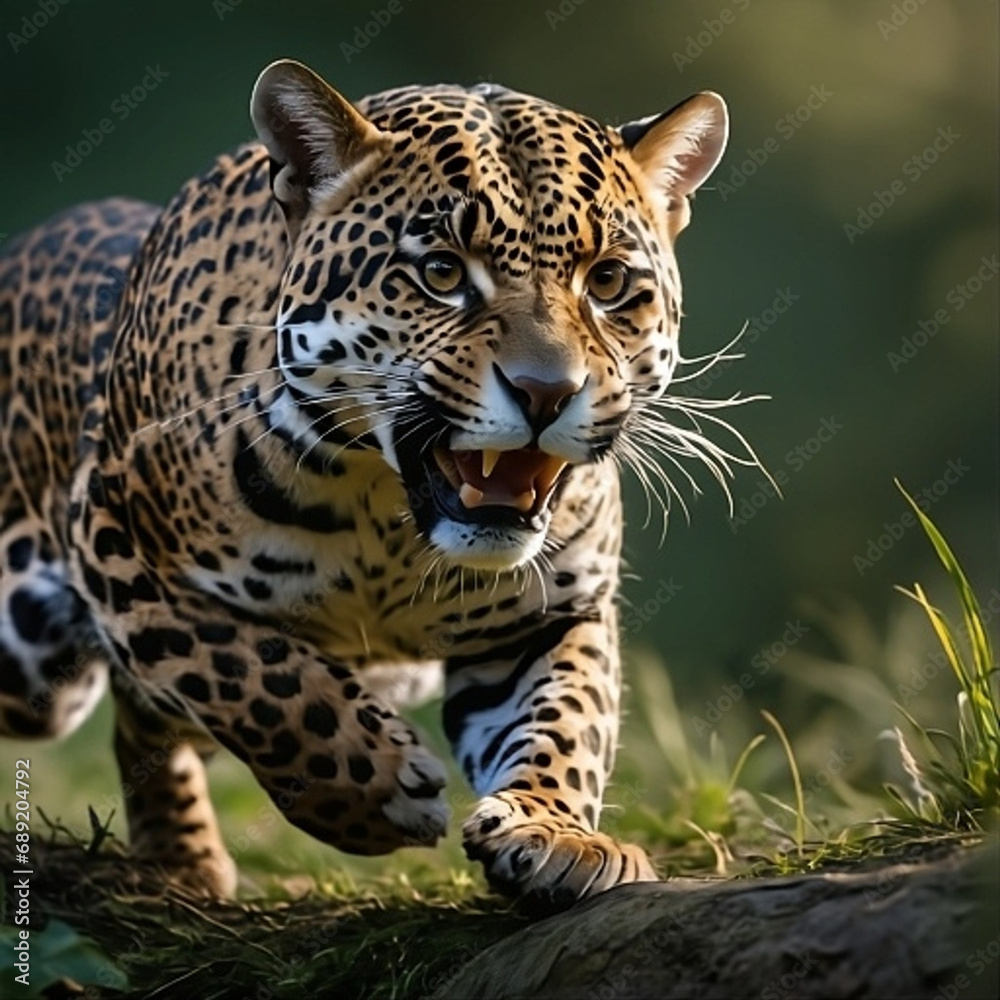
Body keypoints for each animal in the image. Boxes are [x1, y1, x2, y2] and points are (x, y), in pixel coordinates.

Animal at [0, 59, 731, 912]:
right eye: (442, 272)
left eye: (609, 281)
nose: (548, 392)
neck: (391, 520)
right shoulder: (118, 537)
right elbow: (241, 669)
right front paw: (374, 787)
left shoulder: (554, 610)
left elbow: (566, 720)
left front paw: (557, 835)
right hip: (33, 664)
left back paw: (179, 860)